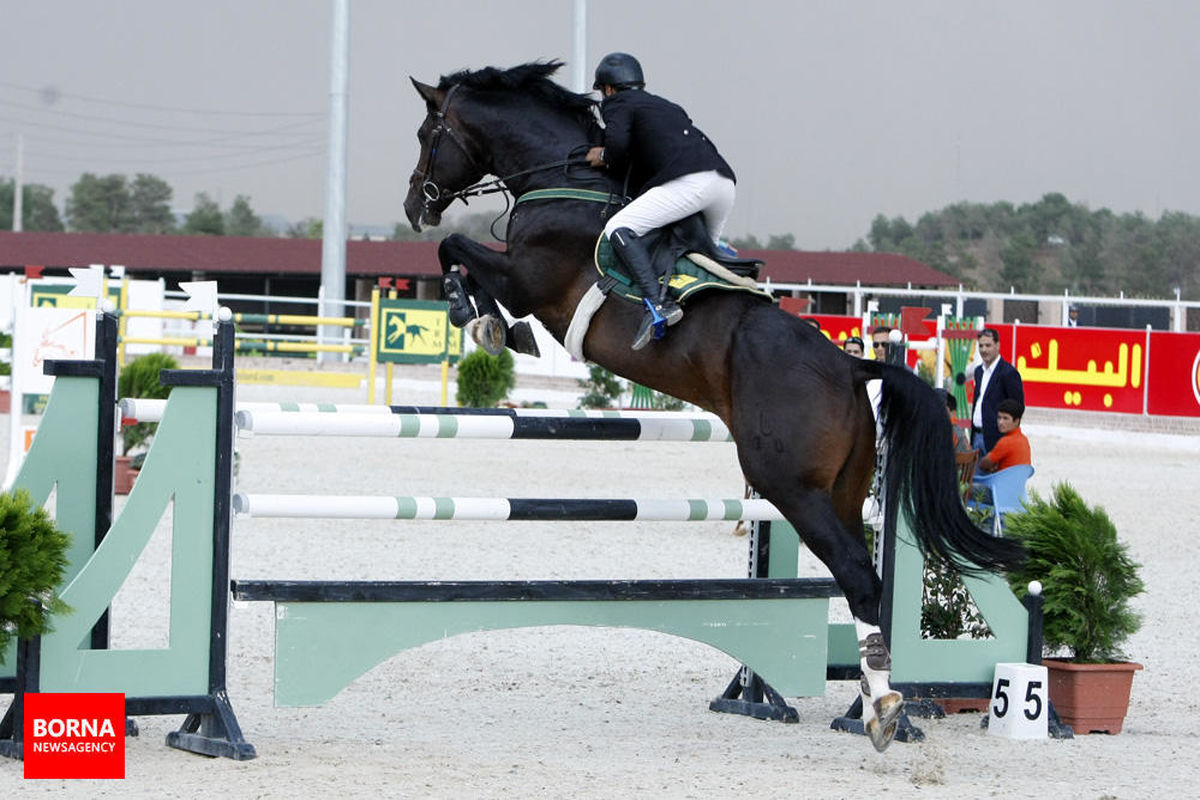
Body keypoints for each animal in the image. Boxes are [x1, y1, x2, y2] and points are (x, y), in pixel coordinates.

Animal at [403, 61, 1022, 753]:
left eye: (428, 134)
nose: (413, 204)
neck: (561, 181)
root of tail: (850, 365)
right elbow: (460, 256)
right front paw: (490, 324)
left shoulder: (528, 280)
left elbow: (457, 252)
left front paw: (483, 322)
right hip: (840, 489)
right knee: (864, 579)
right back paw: (867, 700)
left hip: (791, 487)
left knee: (859, 574)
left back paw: (885, 709)